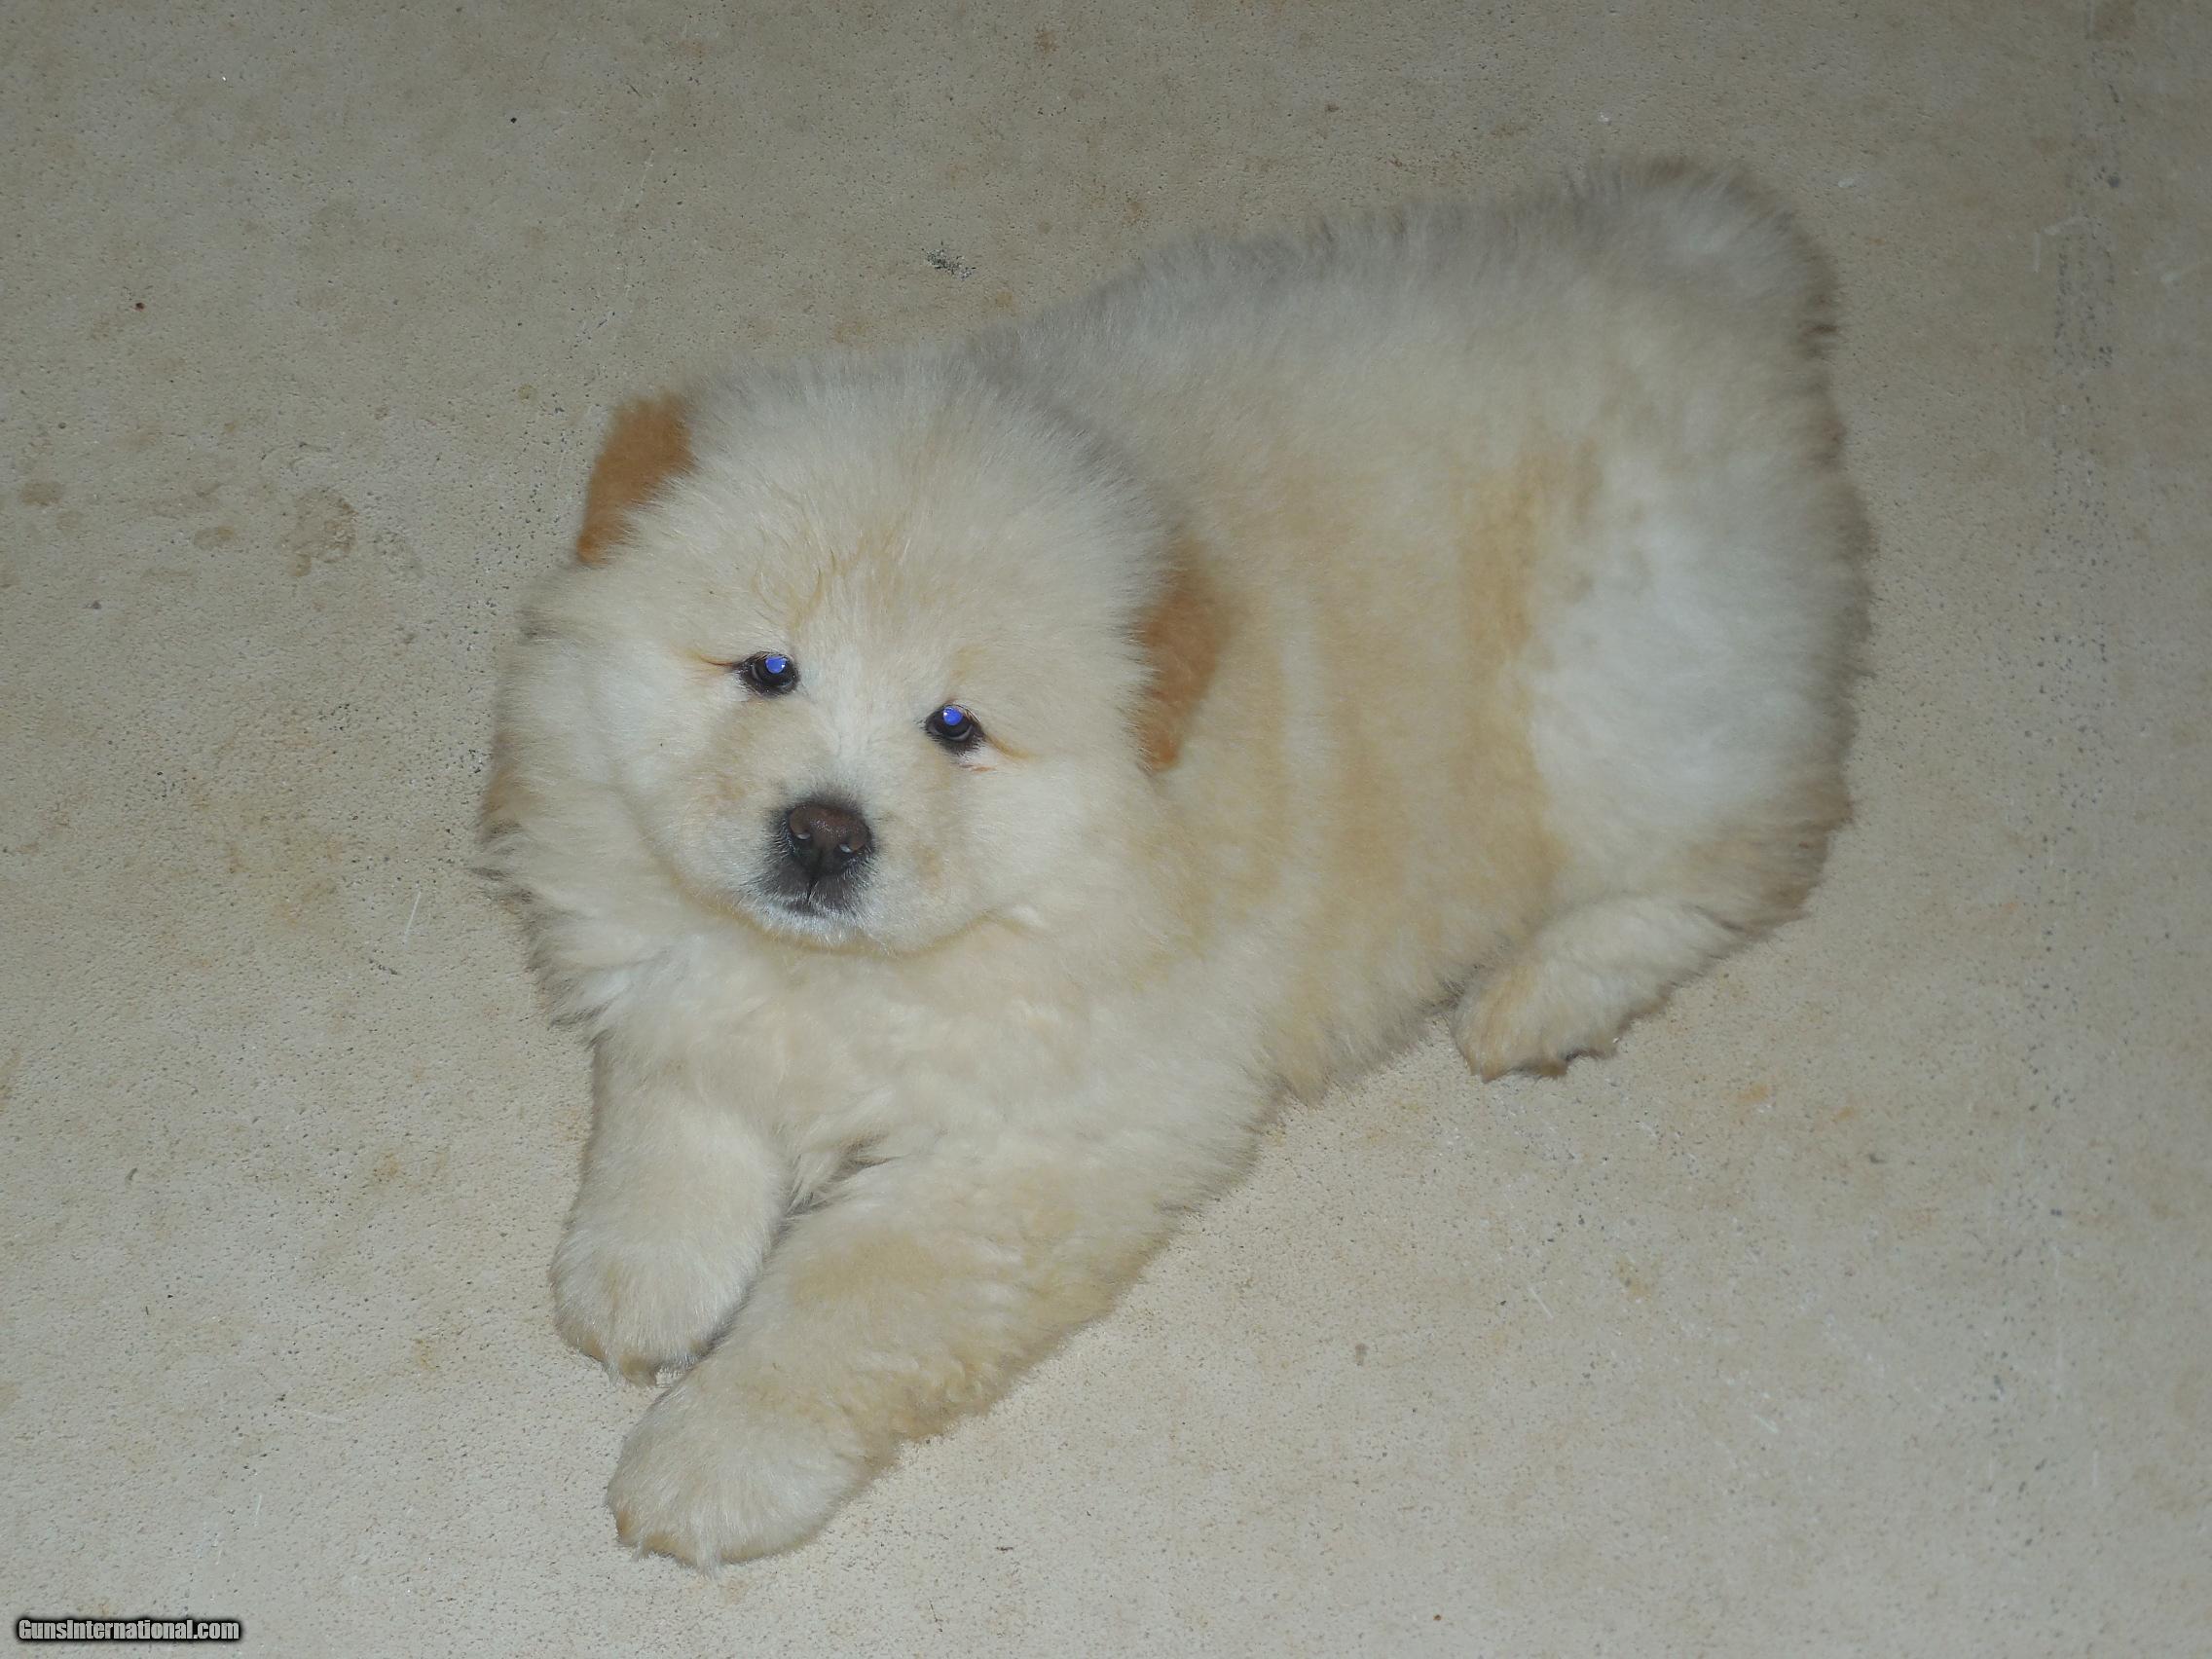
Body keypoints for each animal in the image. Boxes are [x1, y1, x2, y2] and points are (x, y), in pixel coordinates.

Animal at [484, 162, 1866, 1565]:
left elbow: (839, 1310)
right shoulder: (679, 977)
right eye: (769, 670)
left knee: (1755, 851)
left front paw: (705, 1464)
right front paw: (639, 1281)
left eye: (954, 729)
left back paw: (1536, 1002)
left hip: (1607, 720)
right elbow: (669, 1110)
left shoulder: (1030, 1156)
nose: (825, 831)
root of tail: (1710, 268)